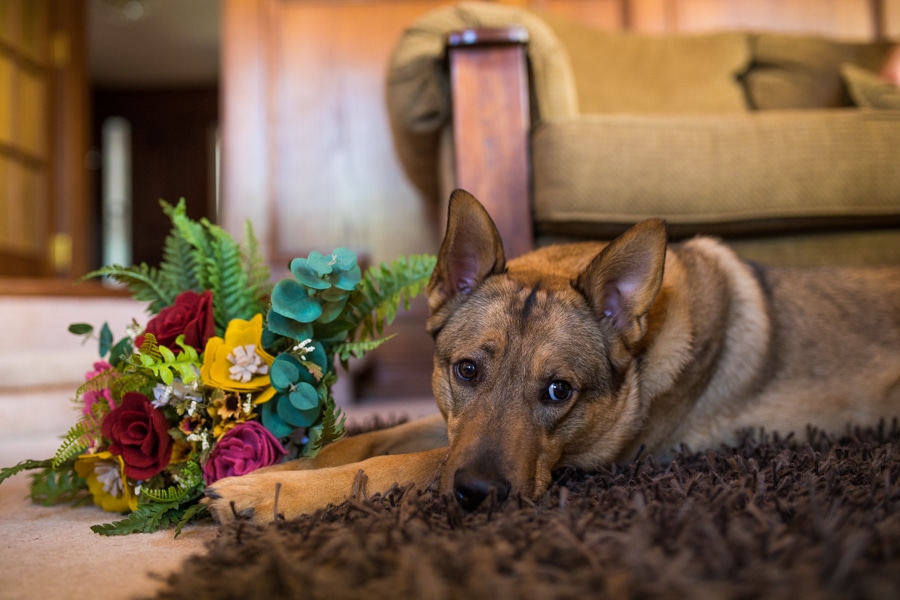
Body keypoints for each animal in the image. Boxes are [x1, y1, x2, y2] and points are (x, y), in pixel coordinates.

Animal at [207, 190, 900, 524]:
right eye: (467, 371)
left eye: (559, 392)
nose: (480, 494)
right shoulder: (447, 421)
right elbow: (366, 444)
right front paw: (285, 464)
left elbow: (390, 468)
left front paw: (266, 492)